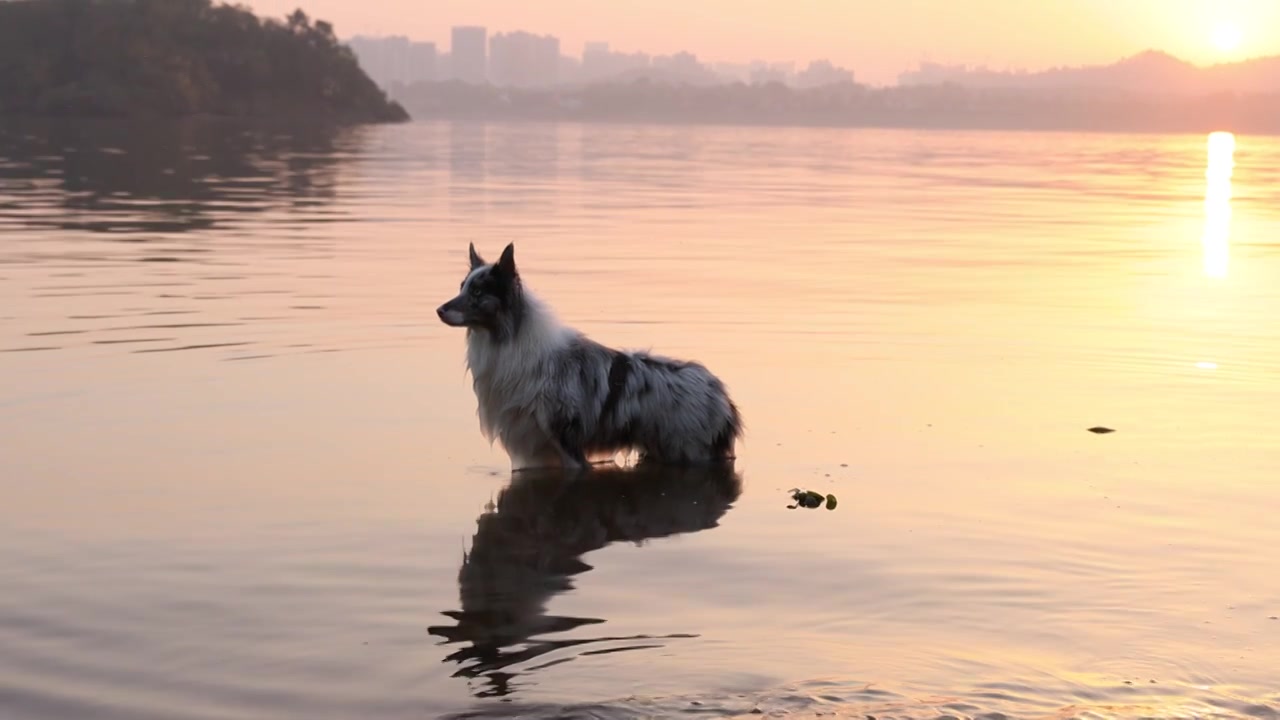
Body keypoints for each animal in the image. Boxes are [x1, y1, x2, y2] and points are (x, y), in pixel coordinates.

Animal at [437, 242, 747, 471]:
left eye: (478, 292)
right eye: (462, 287)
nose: (439, 310)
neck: (507, 338)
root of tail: (721, 395)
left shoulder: (567, 444)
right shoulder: (538, 451)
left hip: (688, 449)